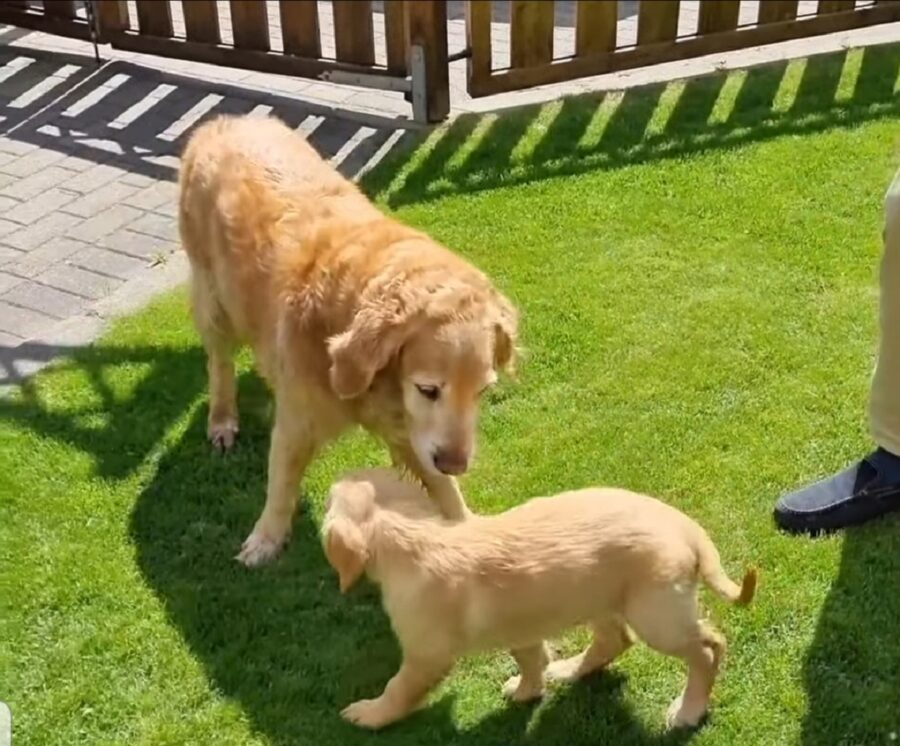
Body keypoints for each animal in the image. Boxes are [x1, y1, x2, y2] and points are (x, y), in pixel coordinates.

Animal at [179, 115, 516, 564]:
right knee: (220, 362)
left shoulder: (411, 425)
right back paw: (222, 421)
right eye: (428, 389)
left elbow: (444, 489)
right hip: (214, 301)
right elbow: (281, 483)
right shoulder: (299, 420)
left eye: (482, 391)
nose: (456, 462)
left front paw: (471, 529)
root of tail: (223, 122)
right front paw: (266, 539)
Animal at [320, 468, 756, 728]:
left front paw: (370, 713)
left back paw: (688, 709)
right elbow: (530, 658)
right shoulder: (520, 627)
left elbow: (399, 688)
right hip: (599, 596)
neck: (415, 537)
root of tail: (688, 529)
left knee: (709, 647)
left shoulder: (427, 654)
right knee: (615, 639)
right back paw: (570, 670)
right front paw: (528, 690)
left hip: (656, 614)